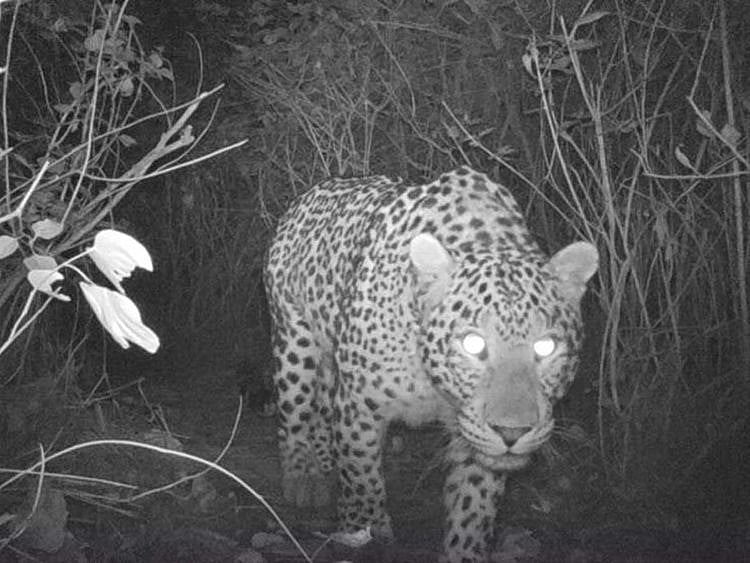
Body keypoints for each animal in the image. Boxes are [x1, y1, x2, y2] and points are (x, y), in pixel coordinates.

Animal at [263, 167, 598, 562]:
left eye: (545, 347)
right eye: (473, 344)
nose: (511, 433)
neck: (431, 379)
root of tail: (315, 190)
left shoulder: (473, 431)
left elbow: (473, 507)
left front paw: (464, 550)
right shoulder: (359, 405)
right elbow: (361, 476)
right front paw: (366, 531)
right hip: (294, 337)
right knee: (295, 410)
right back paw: (304, 477)